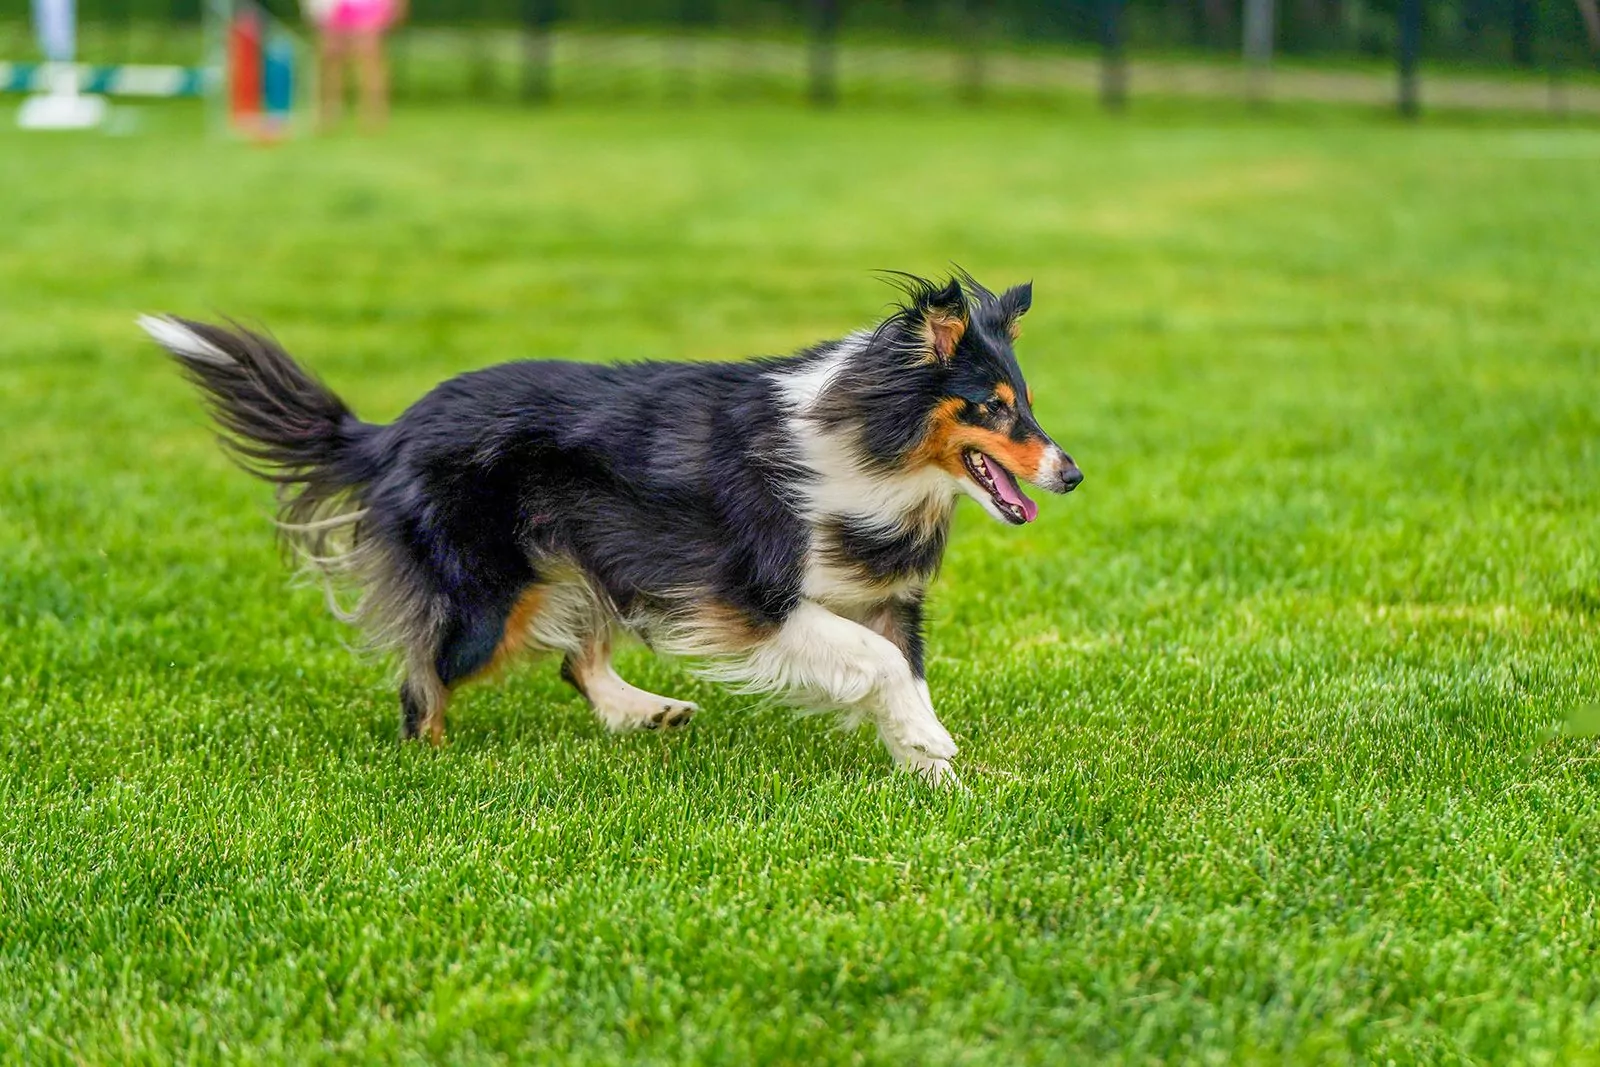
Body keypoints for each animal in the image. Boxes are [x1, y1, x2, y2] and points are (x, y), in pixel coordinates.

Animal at [144, 271, 1081, 780]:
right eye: (993, 406)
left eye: (1028, 402)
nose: (1070, 472)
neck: (873, 439)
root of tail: (389, 431)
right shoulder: (755, 597)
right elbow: (879, 664)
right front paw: (934, 746)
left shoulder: (885, 593)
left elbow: (905, 669)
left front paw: (944, 771)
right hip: (492, 593)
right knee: (424, 677)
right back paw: (431, 760)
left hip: (589, 552)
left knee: (573, 658)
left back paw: (645, 711)